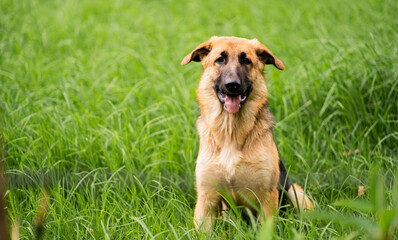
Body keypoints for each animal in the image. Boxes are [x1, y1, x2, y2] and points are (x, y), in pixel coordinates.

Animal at [181, 35, 314, 231]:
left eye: (246, 61)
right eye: (220, 59)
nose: (232, 85)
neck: (231, 132)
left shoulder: (267, 196)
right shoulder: (207, 199)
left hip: (296, 193)